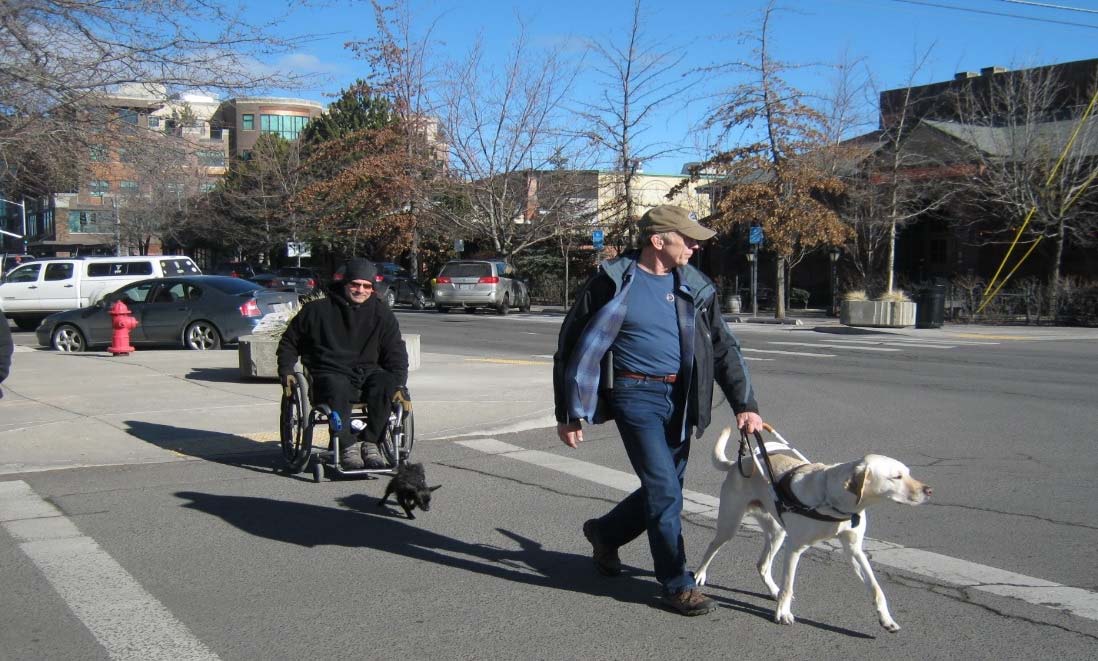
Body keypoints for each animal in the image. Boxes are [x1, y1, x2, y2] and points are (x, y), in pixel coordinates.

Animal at [689, 423, 931, 632]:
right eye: (896, 477)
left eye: (908, 473)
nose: (929, 491)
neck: (833, 501)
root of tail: (742, 461)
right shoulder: (795, 548)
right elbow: (789, 586)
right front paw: (783, 613)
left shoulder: (854, 550)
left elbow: (875, 588)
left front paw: (886, 619)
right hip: (729, 525)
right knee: (713, 546)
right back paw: (699, 575)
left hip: (777, 532)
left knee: (762, 565)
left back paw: (773, 590)